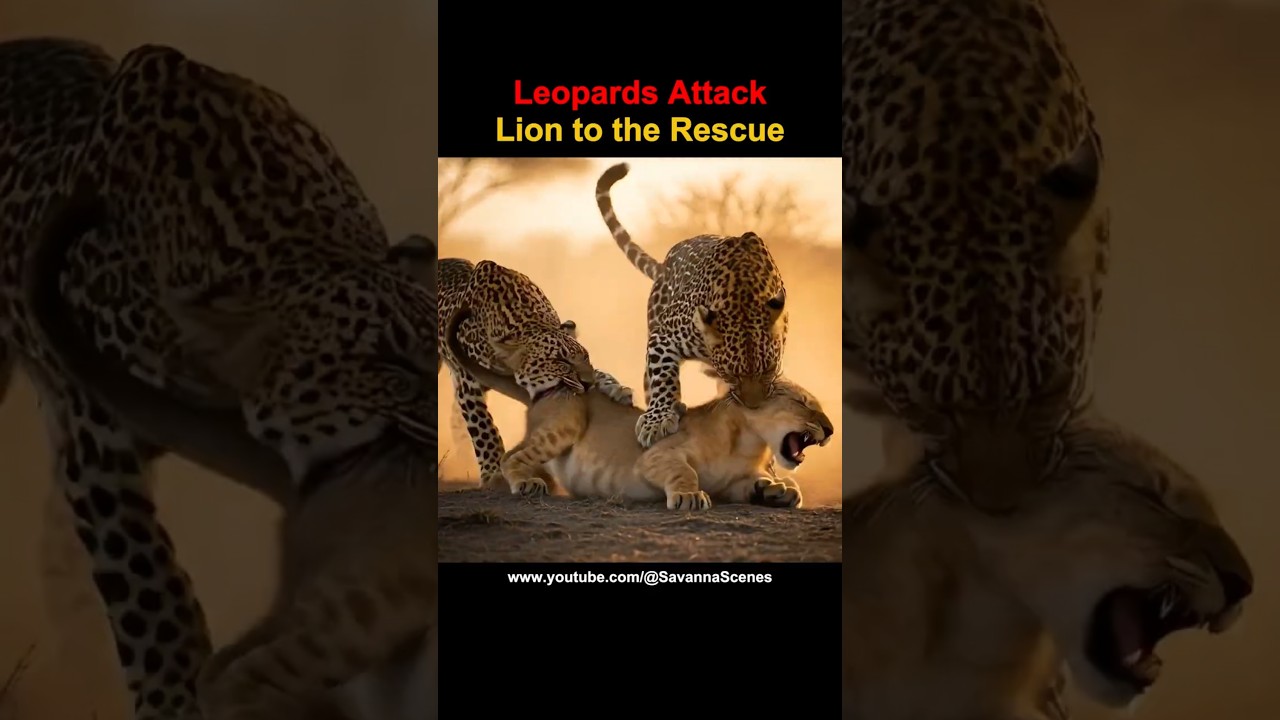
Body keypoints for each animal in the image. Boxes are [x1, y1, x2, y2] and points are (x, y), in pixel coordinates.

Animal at [446, 306, 834, 510]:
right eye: (803, 403)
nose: (830, 430)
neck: (751, 443)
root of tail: (546, 390)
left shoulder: (733, 485)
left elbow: (756, 485)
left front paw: (776, 490)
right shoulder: (656, 456)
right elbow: (683, 471)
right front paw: (689, 496)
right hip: (565, 424)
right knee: (512, 456)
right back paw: (526, 484)